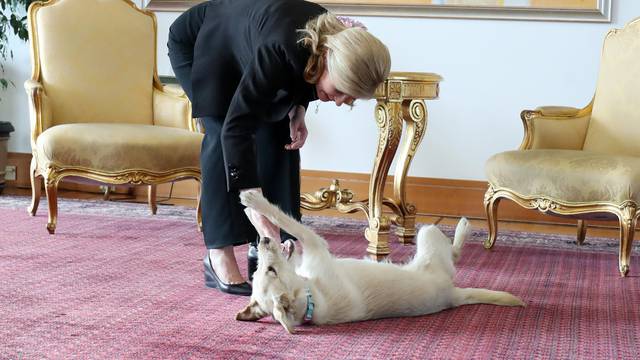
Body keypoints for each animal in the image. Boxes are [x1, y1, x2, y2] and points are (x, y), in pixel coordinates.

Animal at [238, 190, 524, 334]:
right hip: (428, 236)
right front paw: (255, 202)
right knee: (452, 252)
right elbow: (283, 218)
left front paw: (252, 212)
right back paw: (465, 227)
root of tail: (452, 296)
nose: (264, 243)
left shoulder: (307, 253)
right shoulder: (315, 243)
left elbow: (280, 225)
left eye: (263, 271)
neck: (309, 300)